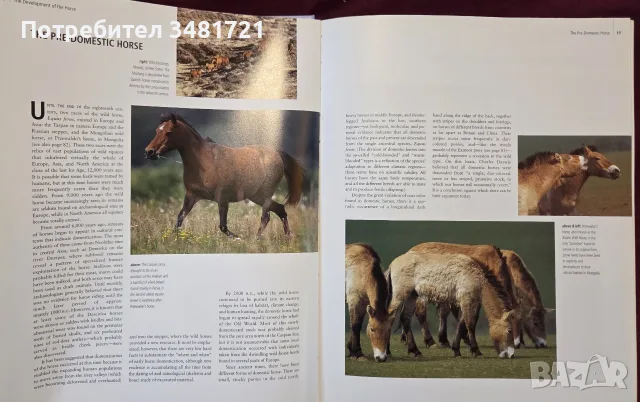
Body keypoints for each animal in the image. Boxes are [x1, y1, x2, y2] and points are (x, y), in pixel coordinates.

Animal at [143, 113, 306, 239]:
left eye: (169, 132)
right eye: (157, 130)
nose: (149, 152)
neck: (203, 162)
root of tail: (277, 154)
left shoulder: (222, 199)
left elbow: (223, 226)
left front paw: (239, 238)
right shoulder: (191, 195)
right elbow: (179, 220)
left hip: (264, 195)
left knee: (267, 216)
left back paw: (256, 239)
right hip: (257, 196)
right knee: (280, 210)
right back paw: (286, 237)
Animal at [386, 248, 516, 360]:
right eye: (510, 331)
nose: (510, 354)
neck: (474, 274)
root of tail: (392, 264)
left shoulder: (466, 302)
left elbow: (461, 324)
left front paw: (456, 350)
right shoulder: (467, 301)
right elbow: (470, 324)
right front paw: (476, 351)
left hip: (411, 297)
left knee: (405, 319)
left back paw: (415, 351)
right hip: (400, 296)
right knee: (390, 317)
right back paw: (387, 352)